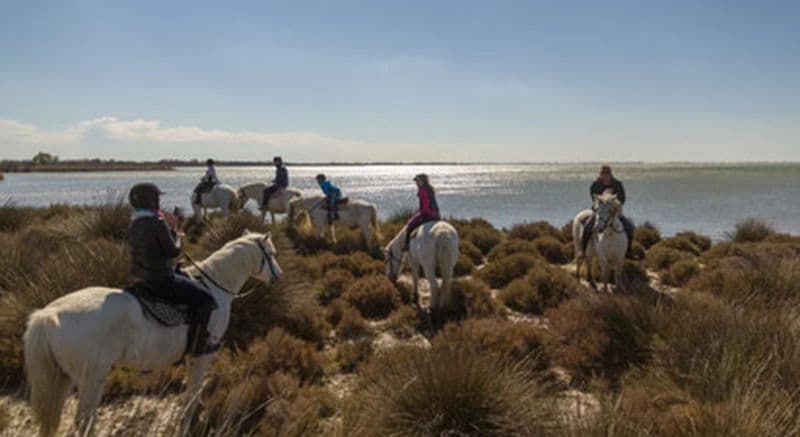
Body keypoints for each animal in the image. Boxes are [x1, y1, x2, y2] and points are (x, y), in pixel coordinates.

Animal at [23, 231, 283, 437]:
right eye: (271, 253)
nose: (278, 277)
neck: (215, 285)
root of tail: (48, 315)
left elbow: (190, 392)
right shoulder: (203, 355)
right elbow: (193, 393)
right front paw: (189, 423)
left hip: (62, 378)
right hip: (91, 378)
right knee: (84, 420)